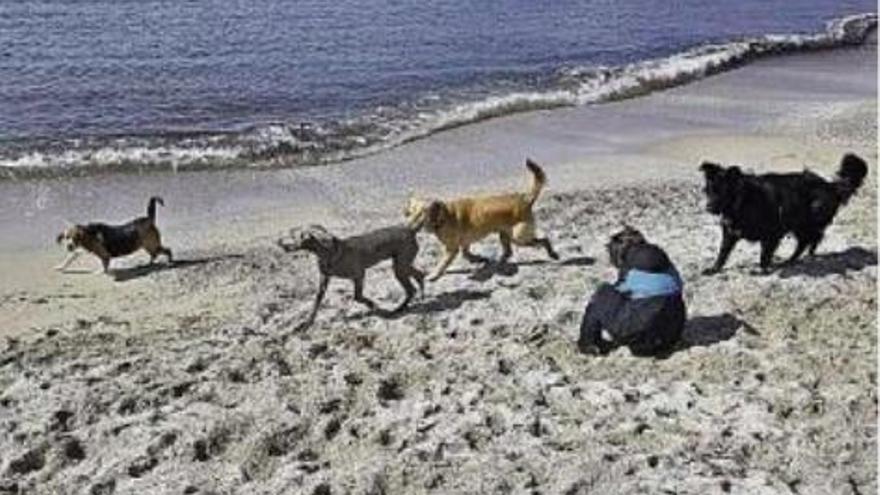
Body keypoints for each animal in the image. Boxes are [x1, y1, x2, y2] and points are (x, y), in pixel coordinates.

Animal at [404, 159, 556, 280]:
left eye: (421, 214)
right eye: (410, 213)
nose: (408, 226)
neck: (443, 216)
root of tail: (525, 200)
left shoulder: (451, 249)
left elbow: (442, 264)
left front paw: (434, 274)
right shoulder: (464, 243)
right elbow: (467, 253)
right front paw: (478, 259)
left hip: (518, 237)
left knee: (543, 240)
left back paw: (552, 253)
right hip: (504, 234)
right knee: (508, 252)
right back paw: (498, 262)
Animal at [696, 153, 868, 274]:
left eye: (723, 192)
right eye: (709, 190)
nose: (708, 207)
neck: (742, 200)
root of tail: (830, 186)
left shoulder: (772, 233)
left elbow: (764, 256)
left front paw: (762, 270)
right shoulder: (730, 233)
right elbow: (722, 254)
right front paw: (714, 269)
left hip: (808, 219)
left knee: (813, 238)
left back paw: (800, 257)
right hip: (800, 224)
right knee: (807, 241)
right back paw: (795, 258)